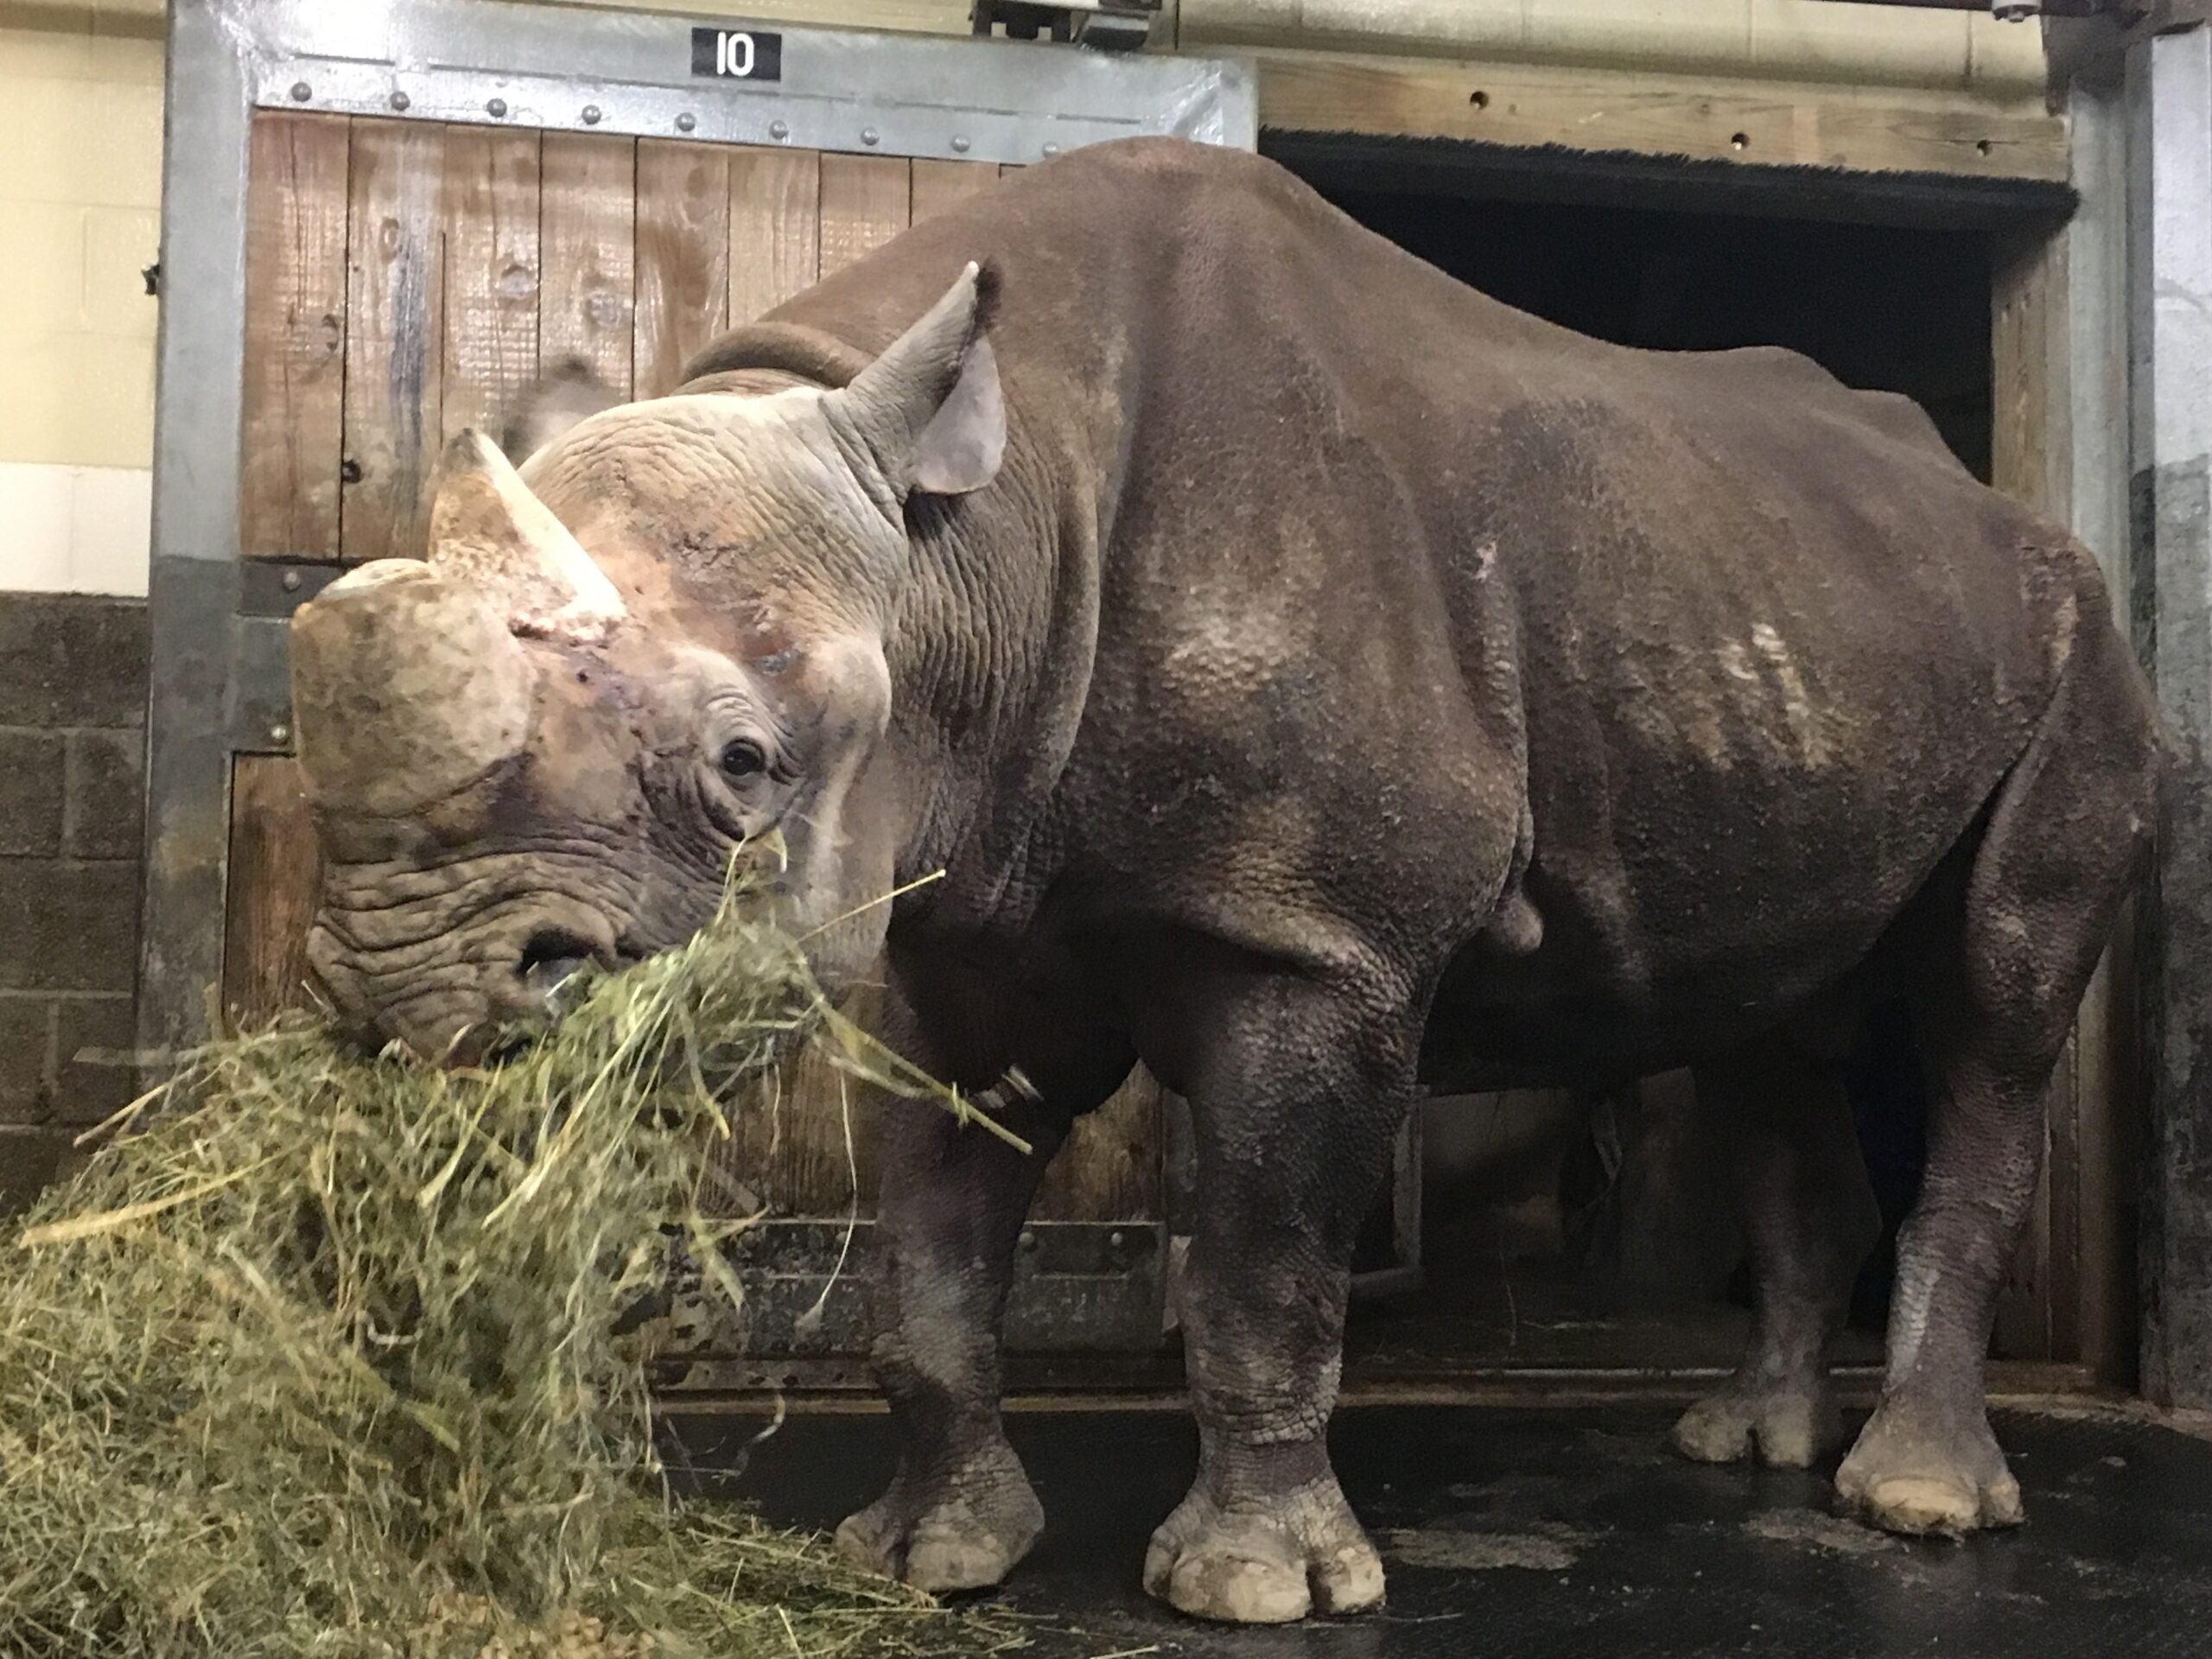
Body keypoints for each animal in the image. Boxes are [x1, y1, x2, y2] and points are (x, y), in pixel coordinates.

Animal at [287, 137, 2160, 1625]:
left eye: (746, 764)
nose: (402, 995)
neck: (971, 549)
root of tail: (2011, 515)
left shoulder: (1312, 946)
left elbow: (1263, 1269)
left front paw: (1252, 1590)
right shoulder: (954, 926)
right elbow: (928, 1268)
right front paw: (918, 1561)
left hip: (2083, 654)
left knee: (1995, 1012)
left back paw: (1911, 1503)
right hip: (1787, 618)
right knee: (1764, 1027)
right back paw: (1742, 1447)